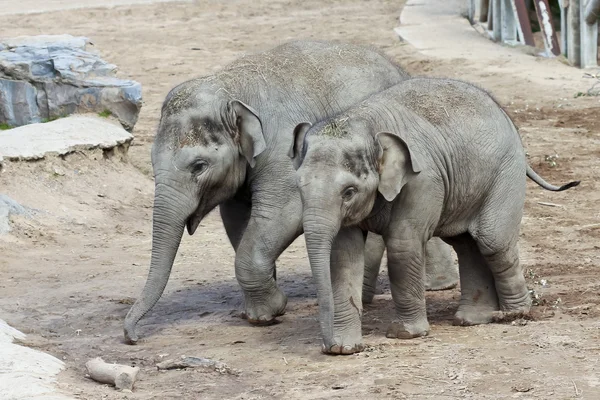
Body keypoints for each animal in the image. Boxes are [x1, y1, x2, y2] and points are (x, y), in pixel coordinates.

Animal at [288, 77, 580, 354]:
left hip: (505, 175)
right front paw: (343, 349)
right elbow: (343, 255)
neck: (367, 124)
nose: (325, 344)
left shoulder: (422, 180)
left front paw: (405, 334)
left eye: (348, 191)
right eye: (299, 186)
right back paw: (471, 319)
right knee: (466, 244)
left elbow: (403, 245)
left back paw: (514, 313)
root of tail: (506, 115)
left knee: (492, 241)